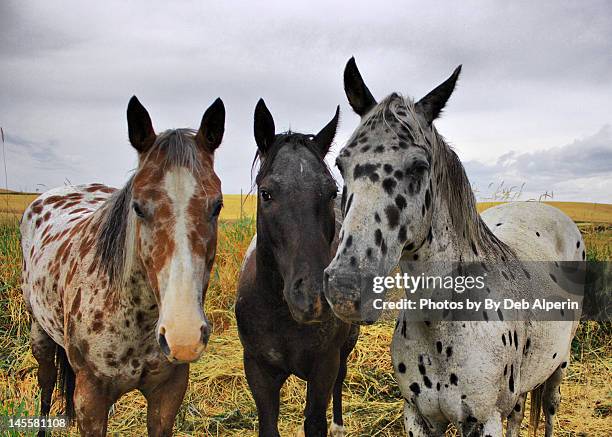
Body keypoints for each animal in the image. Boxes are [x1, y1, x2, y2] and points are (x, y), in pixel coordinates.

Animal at [22, 93, 227, 434]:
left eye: (217, 206)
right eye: (138, 207)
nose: (183, 337)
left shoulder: (168, 393)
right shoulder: (90, 399)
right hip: (39, 331)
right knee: (47, 381)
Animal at [235, 99, 358, 436]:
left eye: (331, 192)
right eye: (266, 193)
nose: (312, 299)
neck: (279, 312)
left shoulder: (323, 366)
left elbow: (315, 420)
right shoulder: (258, 371)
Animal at [322, 57, 580, 432]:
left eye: (419, 166)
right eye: (342, 164)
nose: (345, 289)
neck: (441, 328)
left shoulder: (486, 420)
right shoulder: (419, 417)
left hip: (559, 368)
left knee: (549, 408)